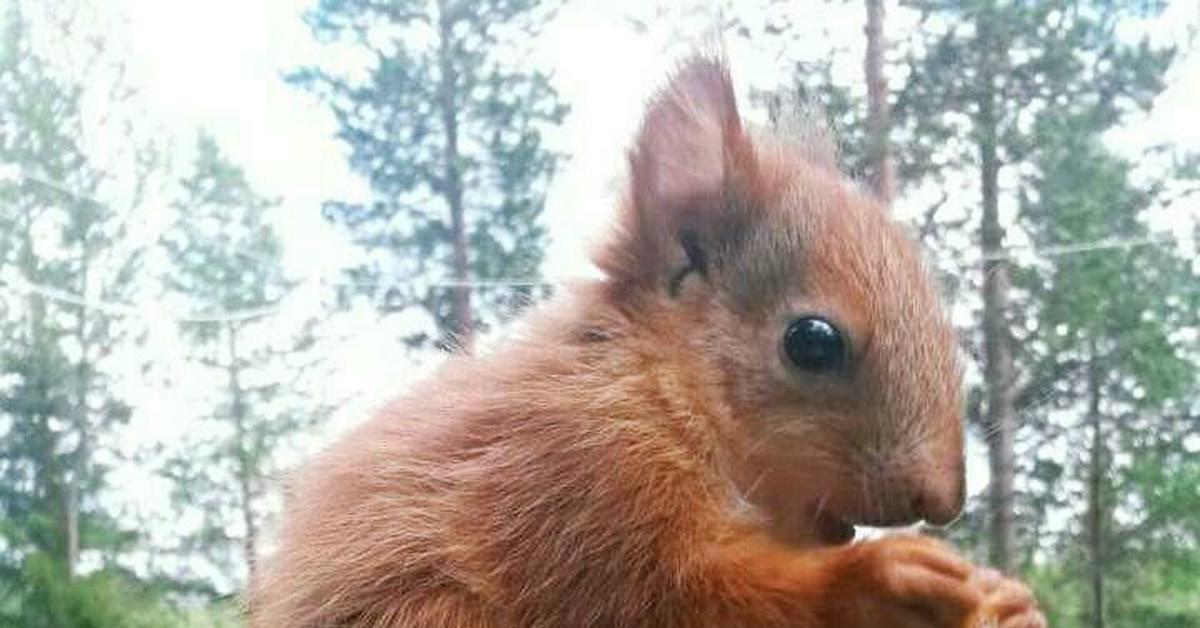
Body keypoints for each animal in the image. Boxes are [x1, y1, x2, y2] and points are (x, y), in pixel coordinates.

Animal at [251, 56, 1045, 628]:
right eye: (812, 342)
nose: (943, 499)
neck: (658, 388)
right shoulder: (575, 483)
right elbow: (677, 594)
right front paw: (880, 579)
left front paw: (1011, 605)